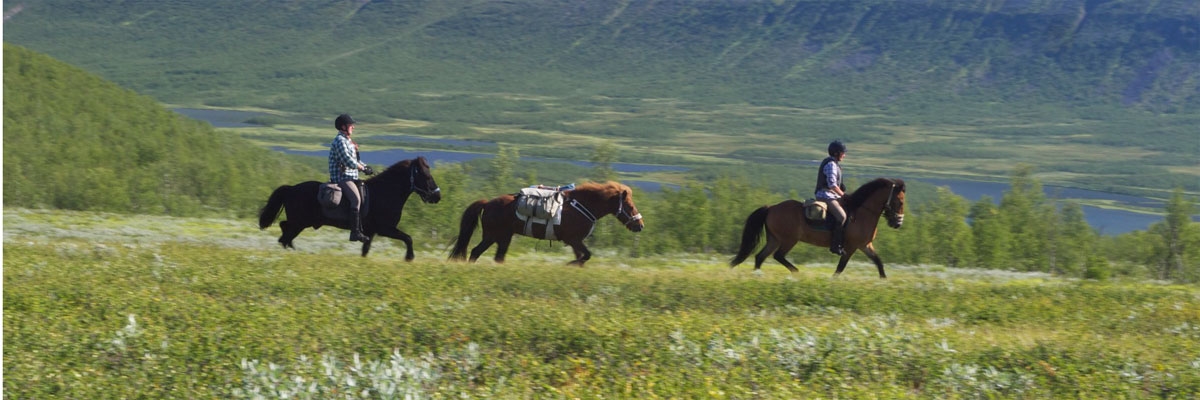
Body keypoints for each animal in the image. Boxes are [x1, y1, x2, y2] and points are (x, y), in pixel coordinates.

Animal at [256, 156, 441, 258]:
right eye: (425, 175)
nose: (437, 196)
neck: (385, 192)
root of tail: (291, 189)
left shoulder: (371, 232)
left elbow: (365, 251)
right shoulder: (385, 229)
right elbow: (408, 238)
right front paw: (409, 257)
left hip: (299, 223)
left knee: (284, 231)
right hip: (299, 223)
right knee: (284, 236)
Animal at [451, 181, 648, 264]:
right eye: (630, 206)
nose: (640, 225)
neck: (583, 206)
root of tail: (487, 203)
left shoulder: (575, 243)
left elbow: (583, 258)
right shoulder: (574, 240)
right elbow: (586, 256)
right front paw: (571, 264)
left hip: (503, 237)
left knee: (494, 256)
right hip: (493, 235)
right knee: (476, 252)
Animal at [724, 177, 902, 277]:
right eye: (899, 201)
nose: (898, 223)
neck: (861, 213)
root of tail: (771, 208)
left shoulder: (865, 245)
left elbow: (879, 263)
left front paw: (884, 281)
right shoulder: (851, 247)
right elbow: (840, 267)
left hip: (774, 239)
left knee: (760, 257)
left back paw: (758, 275)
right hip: (789, 240)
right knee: (778, 256)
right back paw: (796, 272)